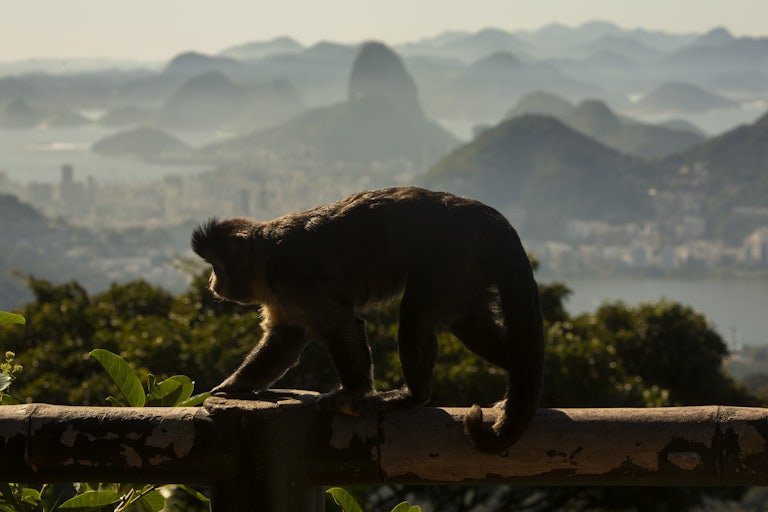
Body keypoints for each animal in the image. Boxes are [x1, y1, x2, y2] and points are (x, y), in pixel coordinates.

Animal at [191, 186, 543, 452]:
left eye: (217, 266)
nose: (211, 282)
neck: (267, 261)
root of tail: (478, 213)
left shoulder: (294, 278)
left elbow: (341, 325)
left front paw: (354, 392)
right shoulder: (281, 295)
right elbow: (285, 339)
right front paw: (229, 388)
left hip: (450, 254)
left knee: (415, 311)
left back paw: (413, 396)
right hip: (467, 268)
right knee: (468, 324)